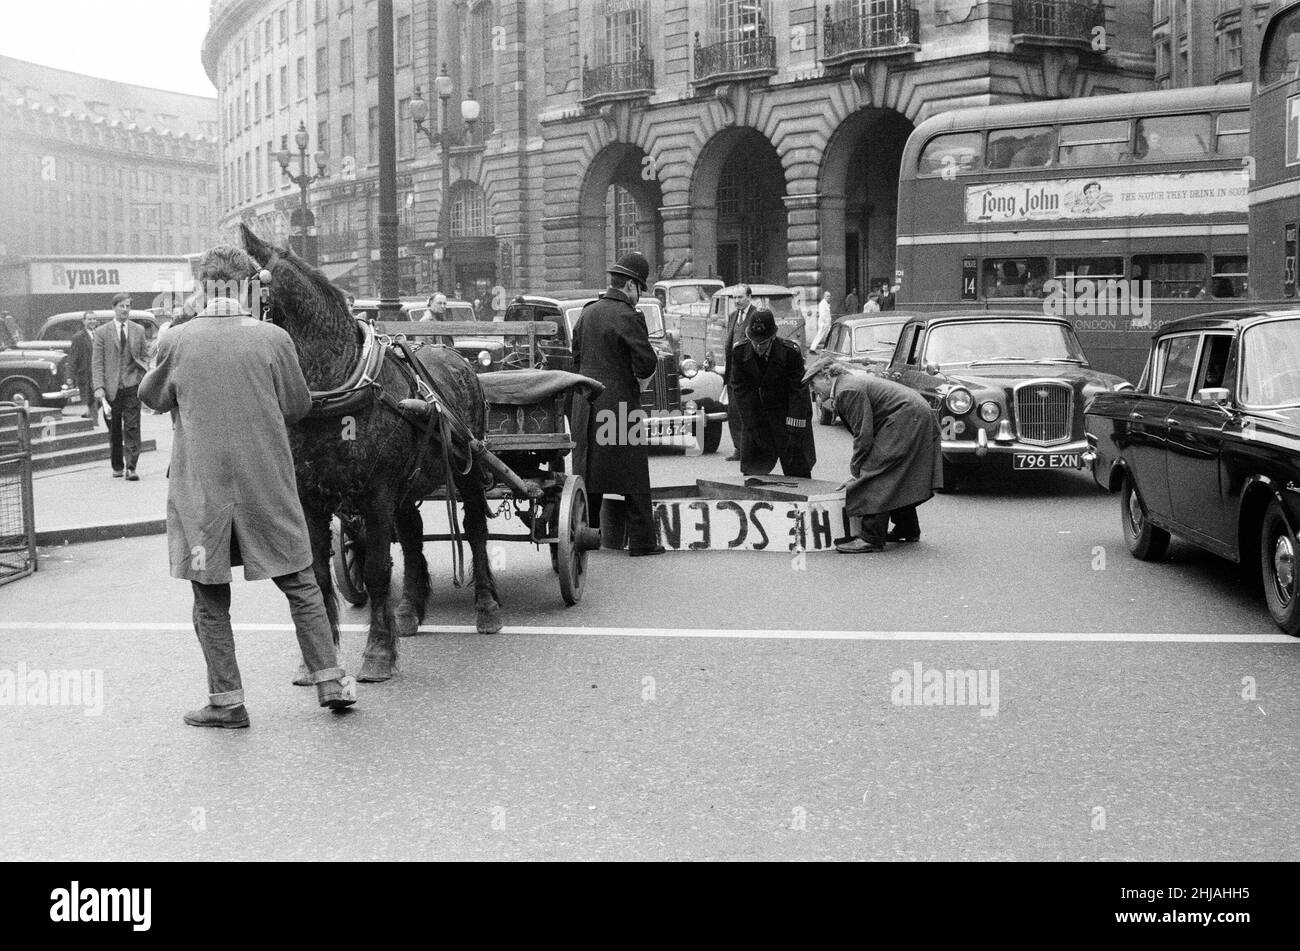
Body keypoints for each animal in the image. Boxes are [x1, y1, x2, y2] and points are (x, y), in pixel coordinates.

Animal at [236, 223, 499, 685]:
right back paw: (409, 610)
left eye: (248, 296)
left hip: (466, 469)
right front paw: (317, 660)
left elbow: (377, 570)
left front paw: (378, 652)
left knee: (474, 531)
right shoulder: (312, 498)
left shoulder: (376, 494)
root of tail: (456, 354)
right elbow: (319, 573)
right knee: (411, 535)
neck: (336, 390)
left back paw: (485, 607)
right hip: (409, 484)